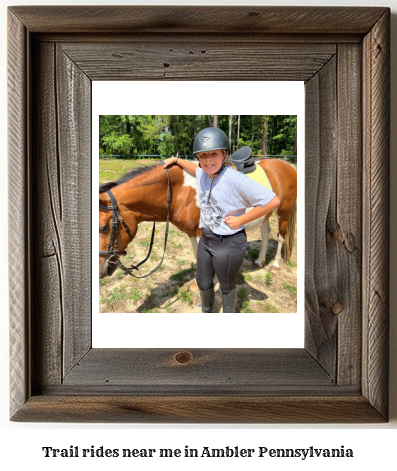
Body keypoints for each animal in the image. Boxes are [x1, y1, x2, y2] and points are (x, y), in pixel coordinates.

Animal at [99, 161, 296, 278]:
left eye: (102, 227)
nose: (100, 270)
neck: (179, 190)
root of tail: (288, 165)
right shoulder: (192, 233)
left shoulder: (203, 233)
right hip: (265, 215)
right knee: (265, 234)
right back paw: (260, 260)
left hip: (283, 212)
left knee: (280, 237)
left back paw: (275, 264)